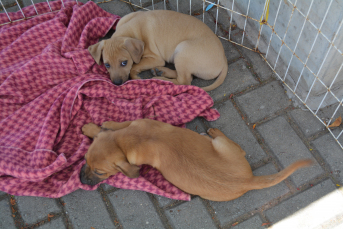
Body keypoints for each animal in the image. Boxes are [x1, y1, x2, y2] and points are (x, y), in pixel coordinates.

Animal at [79, 119, 314, 201]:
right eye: (85, 161)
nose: (81, 180)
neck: (127, 141)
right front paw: (91, 128)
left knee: (238, 148)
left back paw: (211, 131)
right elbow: (113, 124)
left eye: (100, 173)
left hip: (221, 148)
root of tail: (247, 181)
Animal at [88, 10, 228, 91]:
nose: (117, 84)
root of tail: (224, 60)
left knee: (184, 81)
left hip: (183, 50)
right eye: (107, 65)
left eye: (124, 63)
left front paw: (136, 76)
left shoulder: (155, 58)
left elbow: (135, 66)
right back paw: (161, 71)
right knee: (186, 76)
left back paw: (162, 80)